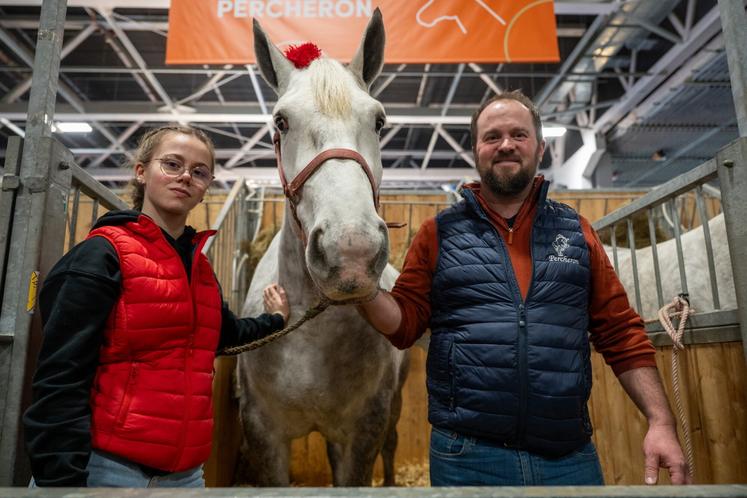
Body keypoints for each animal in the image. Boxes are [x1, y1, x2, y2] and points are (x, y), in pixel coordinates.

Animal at [234, 10, 410, 486]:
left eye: (379, 121)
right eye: (281, 121)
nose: (350, 254)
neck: (311, 336)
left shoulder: (363, 433)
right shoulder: (262, 434)